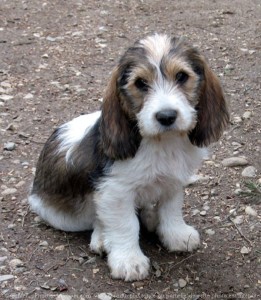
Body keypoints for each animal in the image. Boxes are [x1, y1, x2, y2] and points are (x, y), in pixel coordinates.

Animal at [27, 33, 228, 282]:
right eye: (140, 83)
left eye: (182, 76)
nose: (166, 116)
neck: (161, 142)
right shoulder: (116, 191)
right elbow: (126, 225)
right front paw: (128, 260)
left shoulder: (173, 182)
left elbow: (171, 209)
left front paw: (176, 234)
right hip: (65, 215)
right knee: (98, 219)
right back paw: (103, 238)